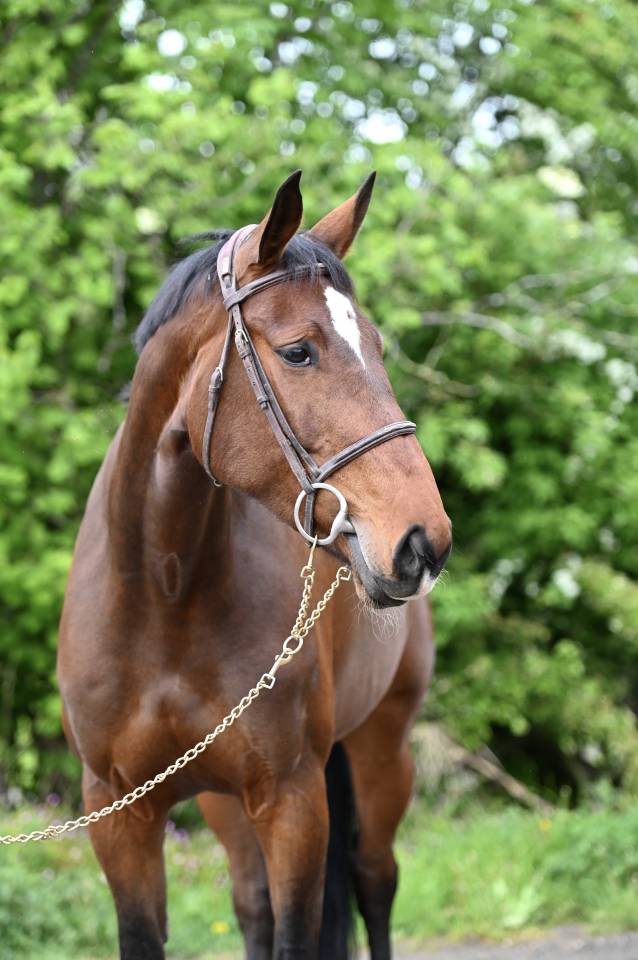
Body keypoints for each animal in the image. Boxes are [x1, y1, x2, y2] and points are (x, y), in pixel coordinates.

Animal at [57, 170, 452, 960]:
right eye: (299, 352)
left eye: (378, 346)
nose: (424, 541)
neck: (164, 595)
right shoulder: (119, 815)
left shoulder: (293, 801)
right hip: (222, 801)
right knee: (253, 906)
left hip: (381, 753)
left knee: (375, 882)